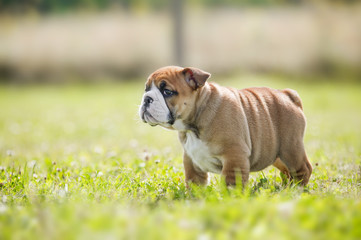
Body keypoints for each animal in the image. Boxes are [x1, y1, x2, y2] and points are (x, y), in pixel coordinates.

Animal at [139, 66, 310, 187]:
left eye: (167, 91)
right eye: (146, 89)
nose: (146, 98)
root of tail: (287, 95)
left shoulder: (234, 156)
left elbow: (231, 183)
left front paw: (230, 198)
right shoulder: (191, 161)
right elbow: (194, 183)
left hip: (290, 149)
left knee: (303, 169)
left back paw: (297, 189)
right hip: (277, 154)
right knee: (287, 172)